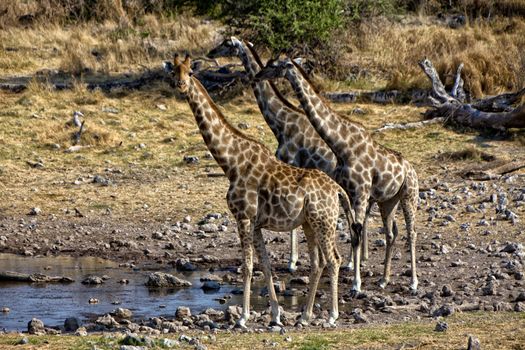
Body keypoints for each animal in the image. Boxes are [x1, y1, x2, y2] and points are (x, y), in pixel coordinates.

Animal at [254, 57, 418, 296]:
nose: (258, 75)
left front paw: (356, 284)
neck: (342, 146)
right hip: (388, 201)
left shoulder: (360, 193)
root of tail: (412, 169)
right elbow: (352, 232)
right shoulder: (349, 193)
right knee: (390, 234)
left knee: (411, 232)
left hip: (408, 195)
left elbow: (356, 233)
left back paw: (413, 283)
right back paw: (384, 280)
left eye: (275, 65)